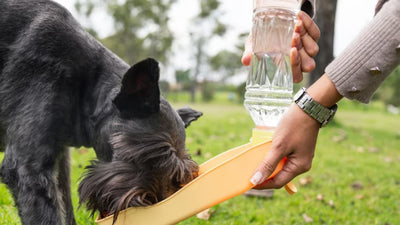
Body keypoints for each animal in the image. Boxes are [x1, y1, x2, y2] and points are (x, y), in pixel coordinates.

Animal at [0, 0, 200, 224]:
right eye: (149, 156)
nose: (153, 204)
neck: (85, 87)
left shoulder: (58, 161)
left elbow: (65, 206)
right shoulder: (28, 168)